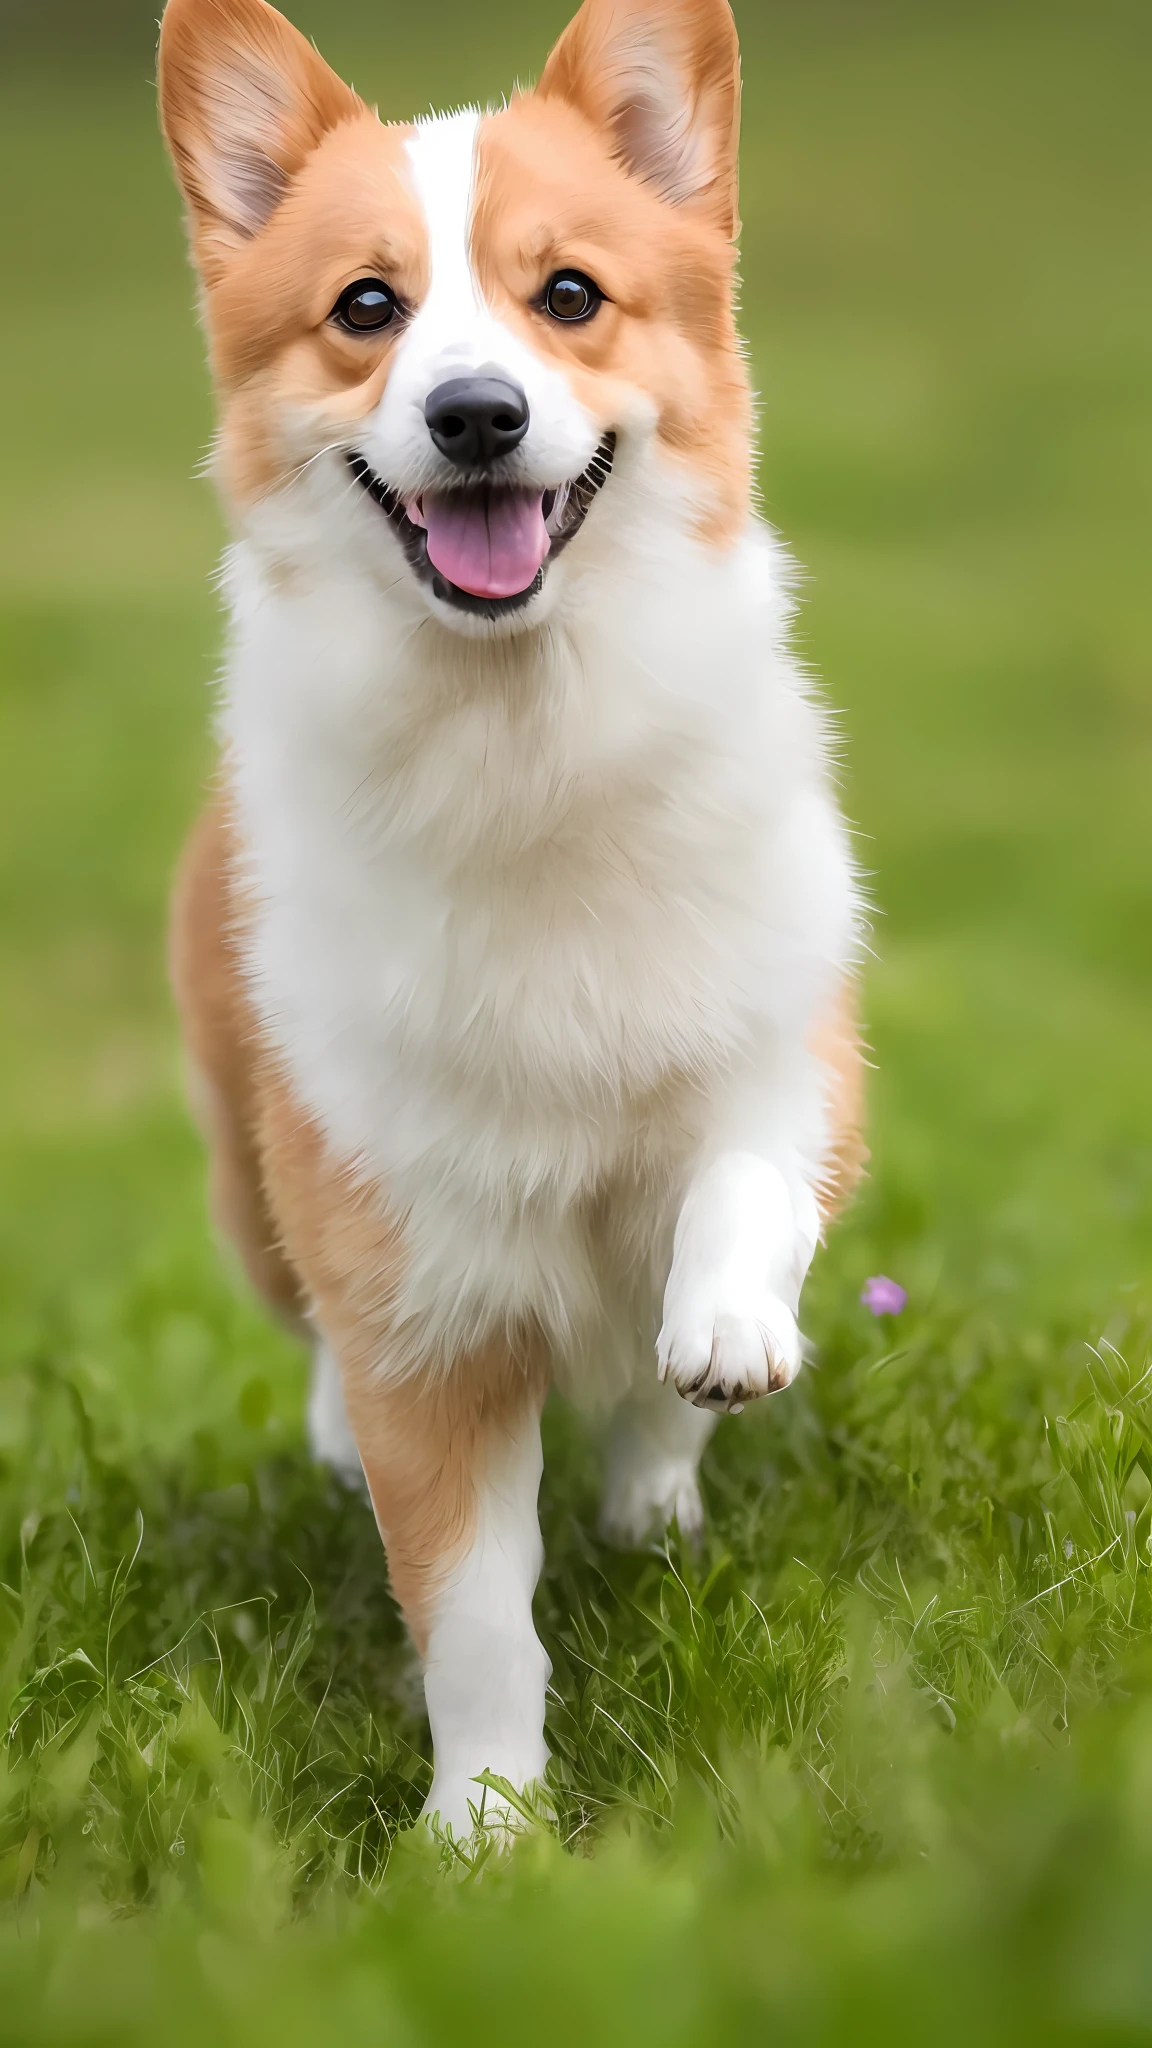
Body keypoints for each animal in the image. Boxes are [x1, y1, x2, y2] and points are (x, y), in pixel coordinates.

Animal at [161, 0, 860, 1843]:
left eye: (569, 295)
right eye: (365, 309)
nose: (477, 415)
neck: (520, 737)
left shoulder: (788, 1049)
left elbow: (743, 1175)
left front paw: (726, 1328)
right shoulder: (430, 1314)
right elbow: (472, 1615)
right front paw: (485, 1832)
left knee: (648, 1402)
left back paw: (661, 1483)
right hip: (252, 1196)